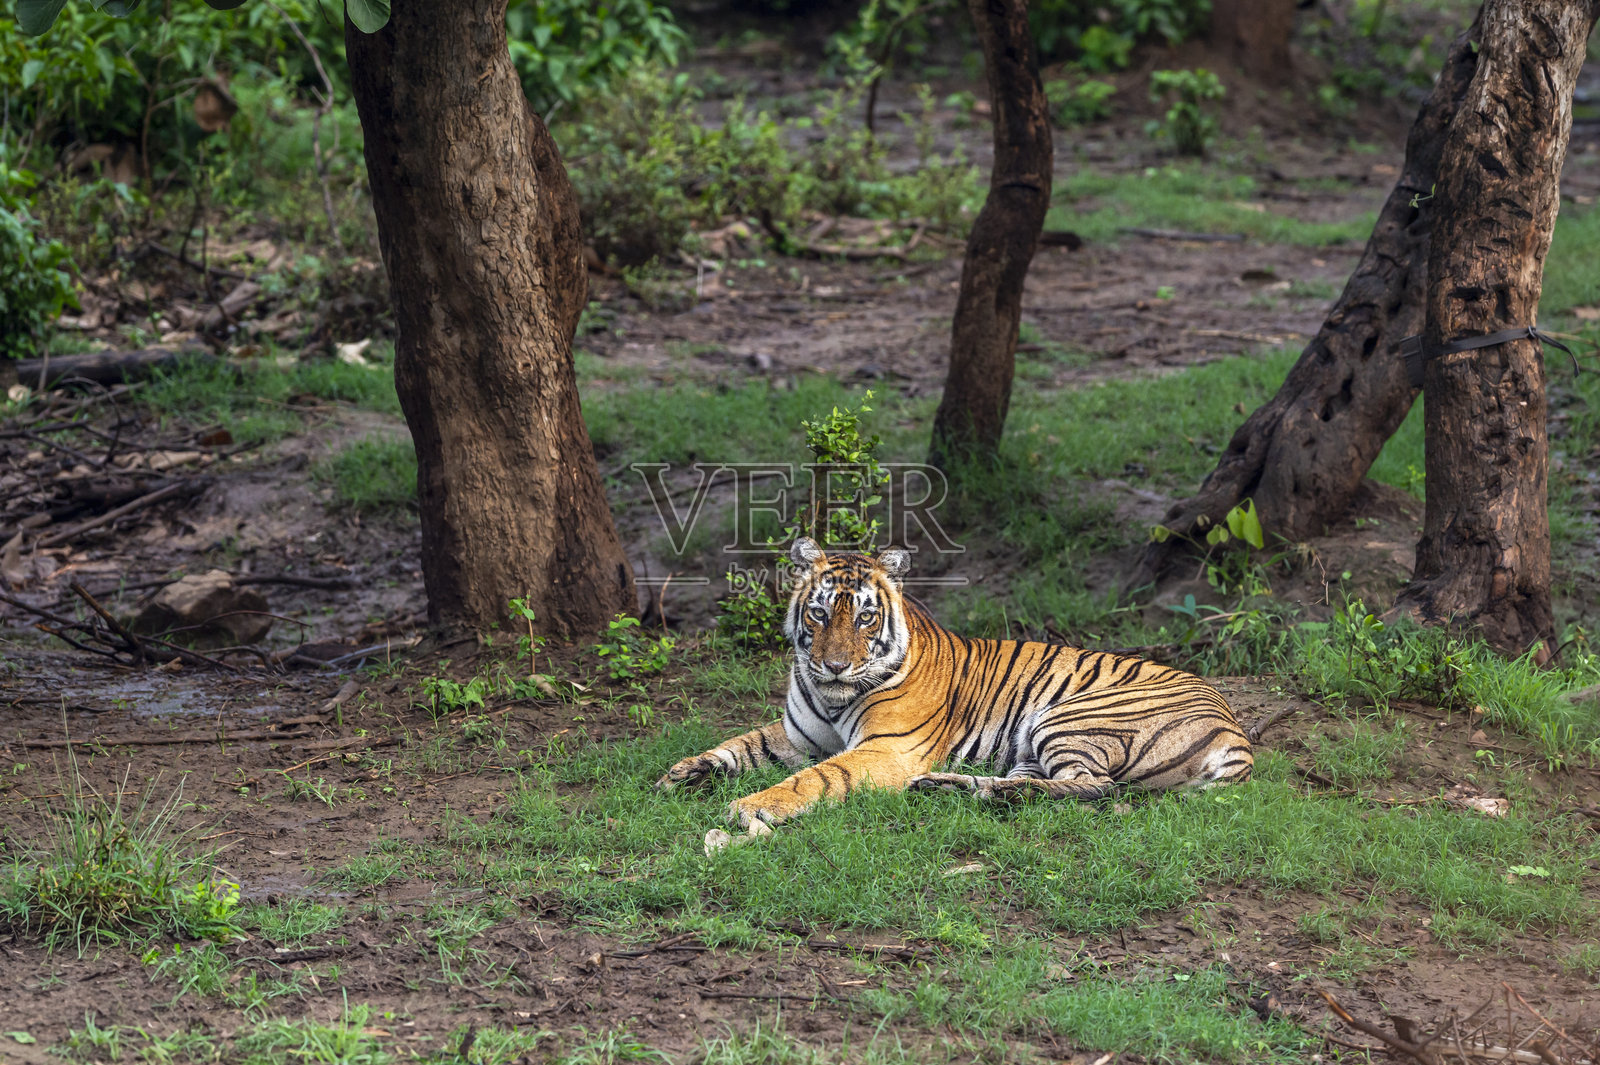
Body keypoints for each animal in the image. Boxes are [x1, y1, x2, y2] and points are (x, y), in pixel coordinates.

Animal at [657, 537, 1253, 828]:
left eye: (865, 618)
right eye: (820, 614)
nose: (835, 666)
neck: (832, 698)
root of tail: (1238, 733)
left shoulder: (886, 749)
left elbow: (818, 778)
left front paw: (752, 806)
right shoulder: (797, 735)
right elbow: (739, 743)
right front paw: (681, 773)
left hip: (1071, 716)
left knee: (1094, 788)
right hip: (1032, 744)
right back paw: (948, 787)